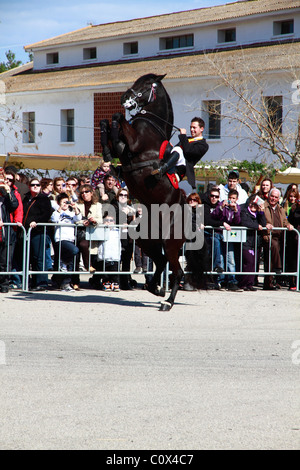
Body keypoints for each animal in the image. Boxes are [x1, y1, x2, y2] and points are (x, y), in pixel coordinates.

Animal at [106, 72, 204, 308]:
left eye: (145, 85)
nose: (124, 97)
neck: (151, 124)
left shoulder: (133, 143)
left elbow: (119, 120)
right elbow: (113, 131)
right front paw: (106, 144)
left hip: (170, 244)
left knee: (177, 271)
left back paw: (167, 301)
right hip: (145, 240)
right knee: (159, 262)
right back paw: (155, 288)